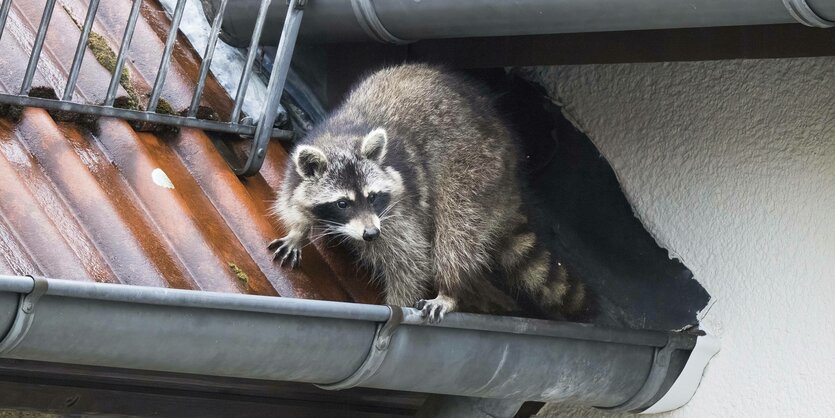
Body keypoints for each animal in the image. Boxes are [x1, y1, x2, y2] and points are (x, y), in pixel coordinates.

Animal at [272, 63, 584, 322]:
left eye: (372, 197)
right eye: (342, 204)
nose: (371, 234)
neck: (342, 138)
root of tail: (511, 174)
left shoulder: (399, 208)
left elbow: (411, 260)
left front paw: (397, 303)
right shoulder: (298, 171)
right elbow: (291, 202)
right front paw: (298, 231)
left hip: (476, 171)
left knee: (456, 229)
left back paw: (449, 289)